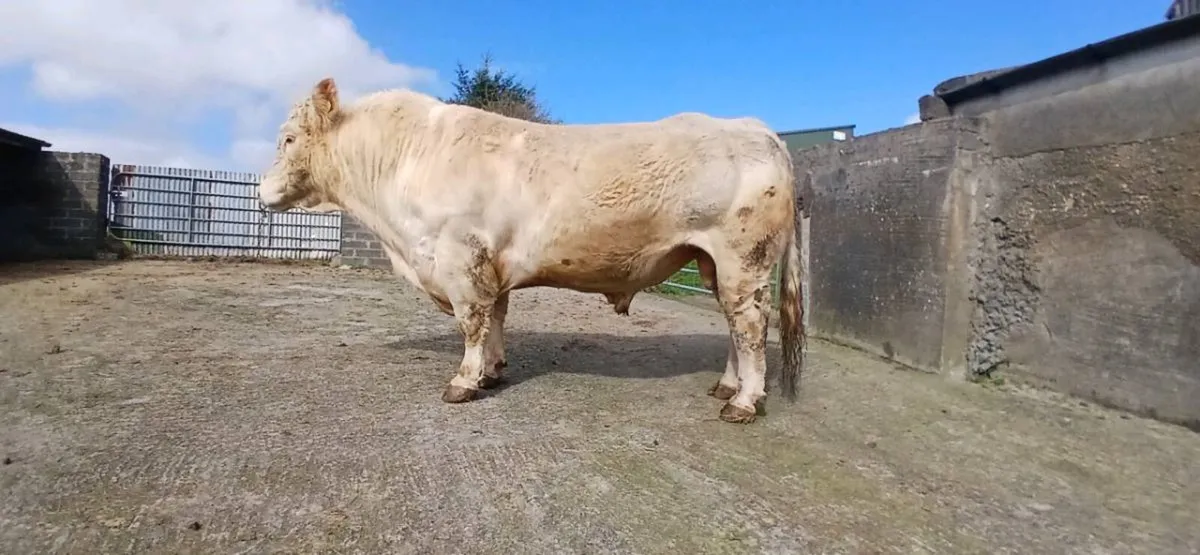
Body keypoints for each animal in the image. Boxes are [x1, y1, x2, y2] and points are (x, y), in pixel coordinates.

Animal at [257, 77, 806, 424]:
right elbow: (496, 317)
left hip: (742, 260)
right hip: (715, 264)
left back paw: (744, 402)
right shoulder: (490, 265)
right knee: (736, 327)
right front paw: (492, 372)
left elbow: (472, 323)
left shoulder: (461, 258)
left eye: (288, 139)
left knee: (750, 328)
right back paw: (728, 386)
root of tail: (756, 128)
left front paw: (464, 381)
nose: (260, 190)